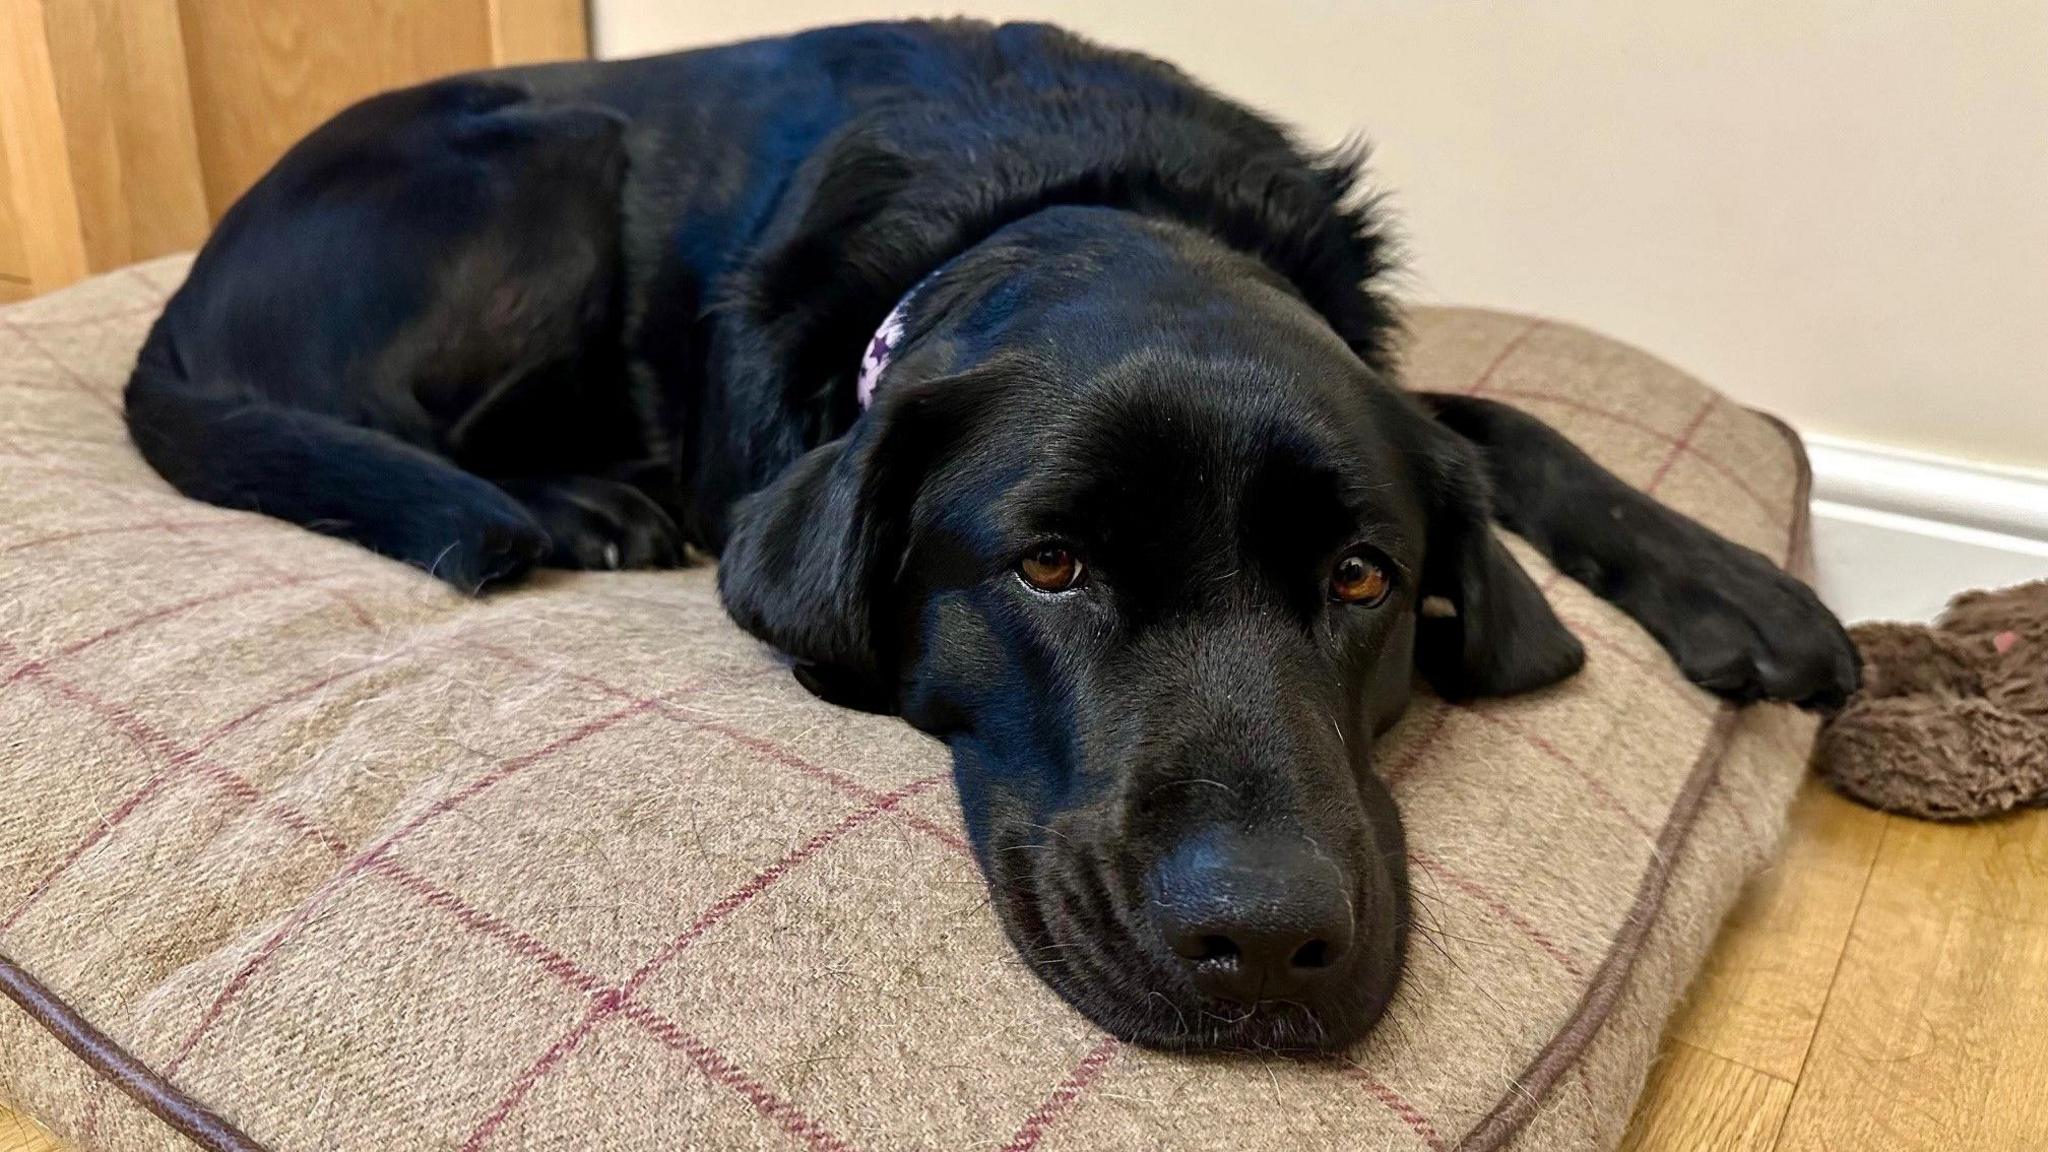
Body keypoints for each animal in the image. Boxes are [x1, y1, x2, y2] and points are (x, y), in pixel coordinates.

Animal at [123, 20, 1859, 1049]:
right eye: (1050, 566)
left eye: (1365, 578)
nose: (1268, 943)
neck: (1075, 204)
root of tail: (171, 314)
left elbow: (1498, 422)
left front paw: (1741, 587)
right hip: (550, 155)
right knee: (392, 430)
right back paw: (580, 507)